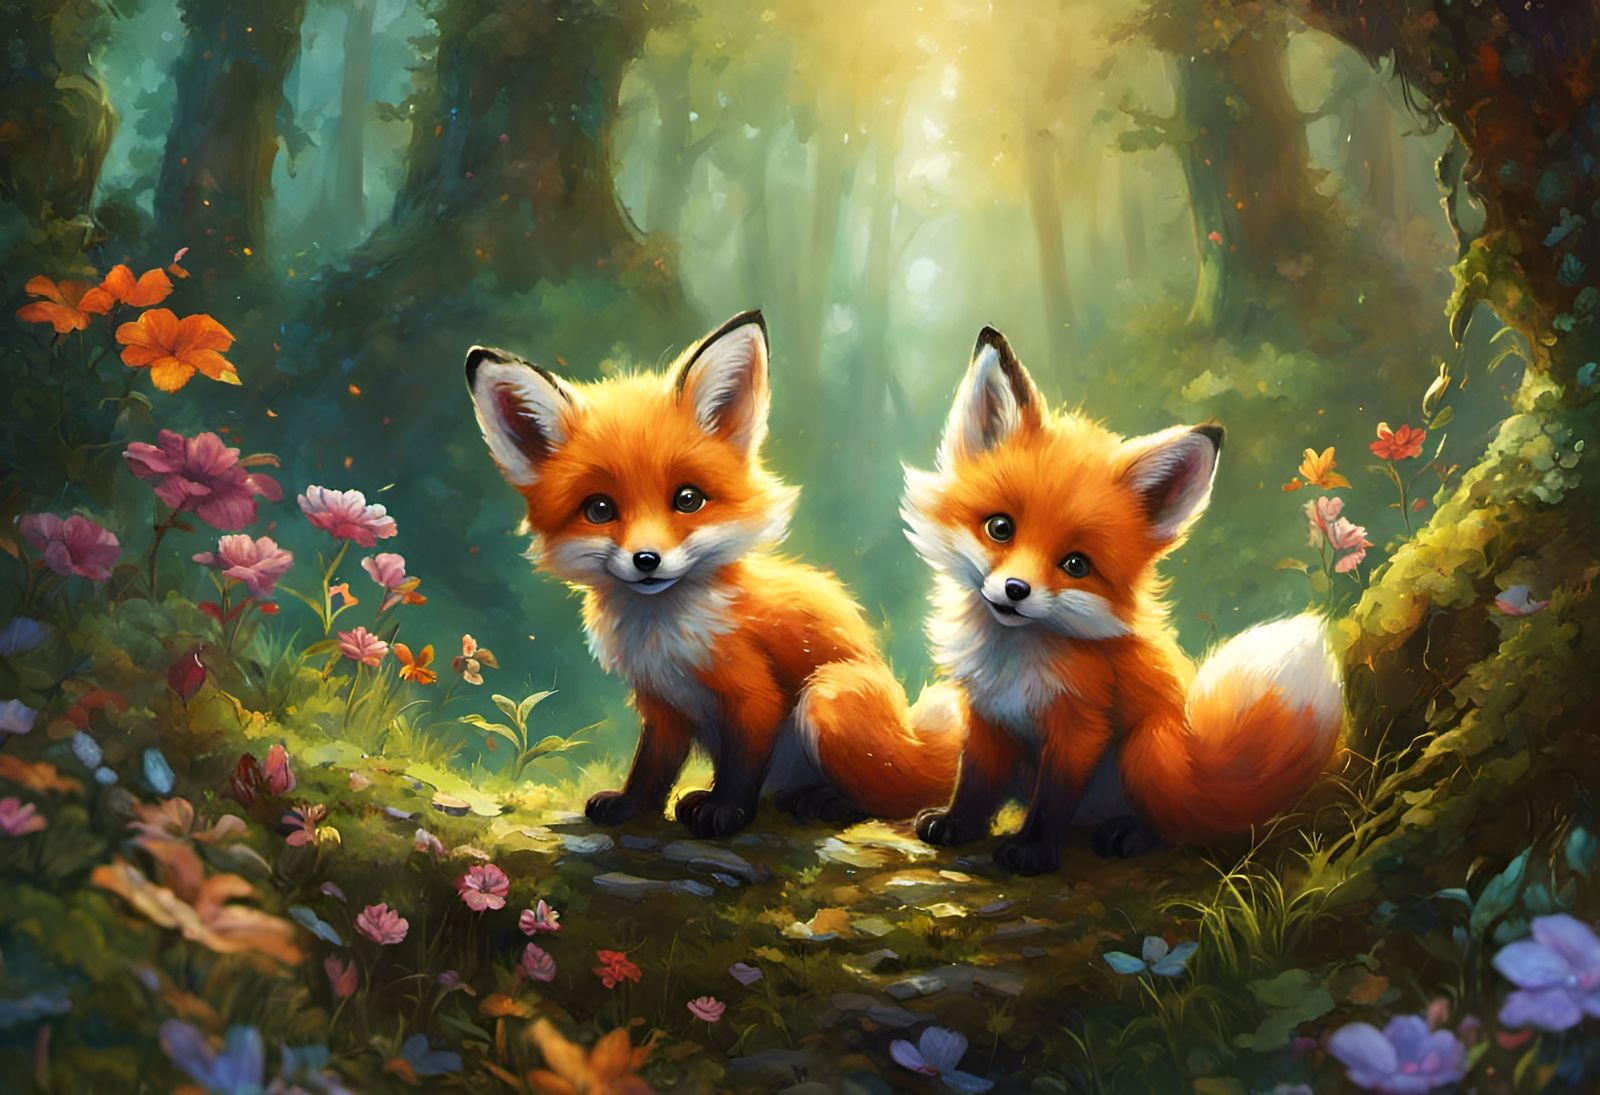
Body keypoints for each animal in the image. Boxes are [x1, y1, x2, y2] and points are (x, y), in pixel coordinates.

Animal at [465, 310, 961, 838]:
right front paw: (631, 805)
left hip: (829, 697)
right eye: (599, 509)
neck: (664, 638)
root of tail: (915, 741)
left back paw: (830, 802)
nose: (647, 560)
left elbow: (740, 766)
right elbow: (651, 767)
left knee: (896, 799)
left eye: (688, 499)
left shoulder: (752, 693)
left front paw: (725, 812)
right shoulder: (662, 706)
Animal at [902, 326, 1344, 875]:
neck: (1014, 663)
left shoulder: (1080, 726)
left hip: (1144, 750)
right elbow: (977, 781)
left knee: (1178, 827)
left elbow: (1052, 800)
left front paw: (1033, 851)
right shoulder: (987, 717)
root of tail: (1202, 768)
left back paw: (1131, 835)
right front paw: (957, 825)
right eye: (1000, 528)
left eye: (1076, 565)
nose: (1015, 591)